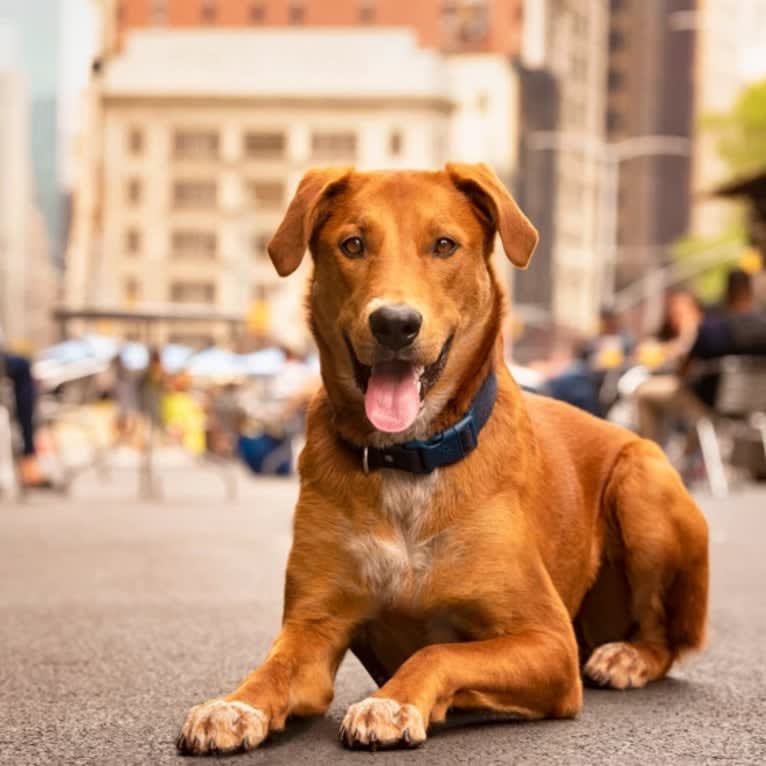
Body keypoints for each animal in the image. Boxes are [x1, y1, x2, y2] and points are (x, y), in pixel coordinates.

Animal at [177, 162, 712, 756]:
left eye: (444, 245)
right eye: (353, 244)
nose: (394, 323)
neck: (409, 457)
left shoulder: (548, 641)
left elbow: (439, 652)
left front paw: (393, 701)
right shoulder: (313, 625)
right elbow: (273, 670)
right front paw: (233, 706)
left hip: (644, 484)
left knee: (664, 637)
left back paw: (629, 657)